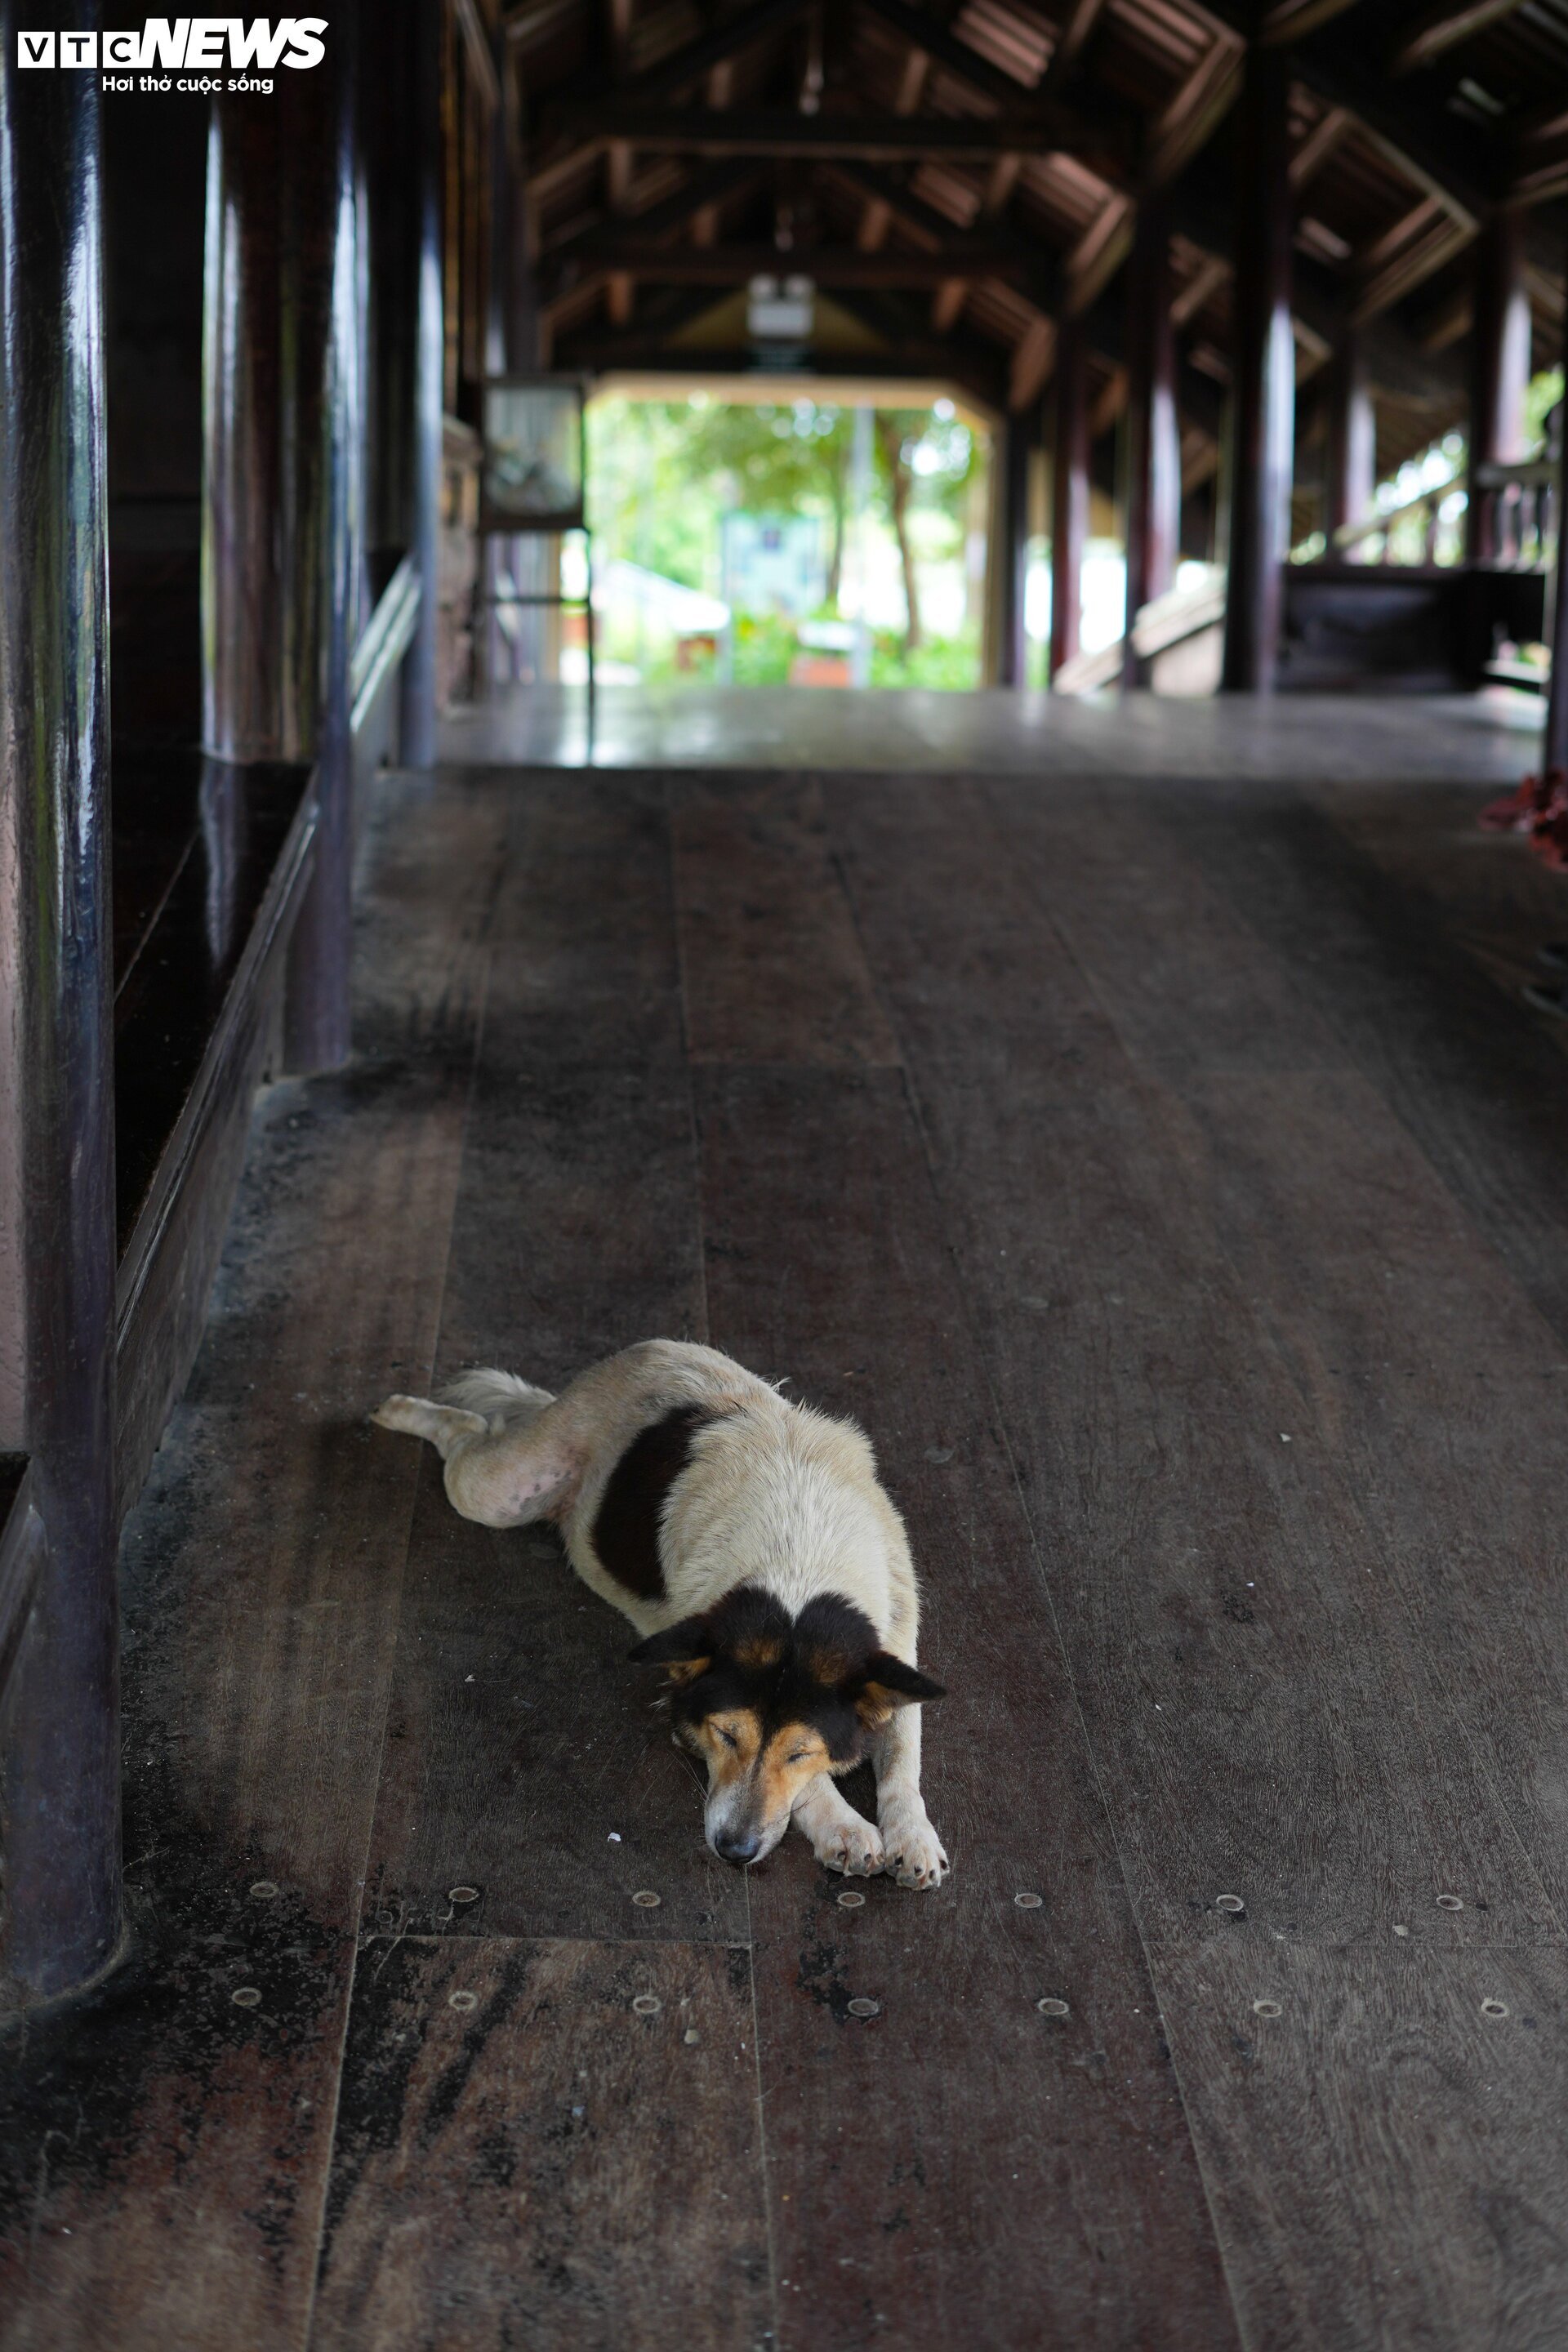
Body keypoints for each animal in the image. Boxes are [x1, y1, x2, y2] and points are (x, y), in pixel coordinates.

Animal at [373, 1345, 949, 1891]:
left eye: (798, 1752)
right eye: (725, 1736)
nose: (733, 1851)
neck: (799, 1564)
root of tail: (636, 1354)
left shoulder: (895, 1653)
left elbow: (904, 1760)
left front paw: (913, 1838)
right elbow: (819, 1784)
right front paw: (844, 1826)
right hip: (499, 1492)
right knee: (469, 1433)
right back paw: (401, 1410)